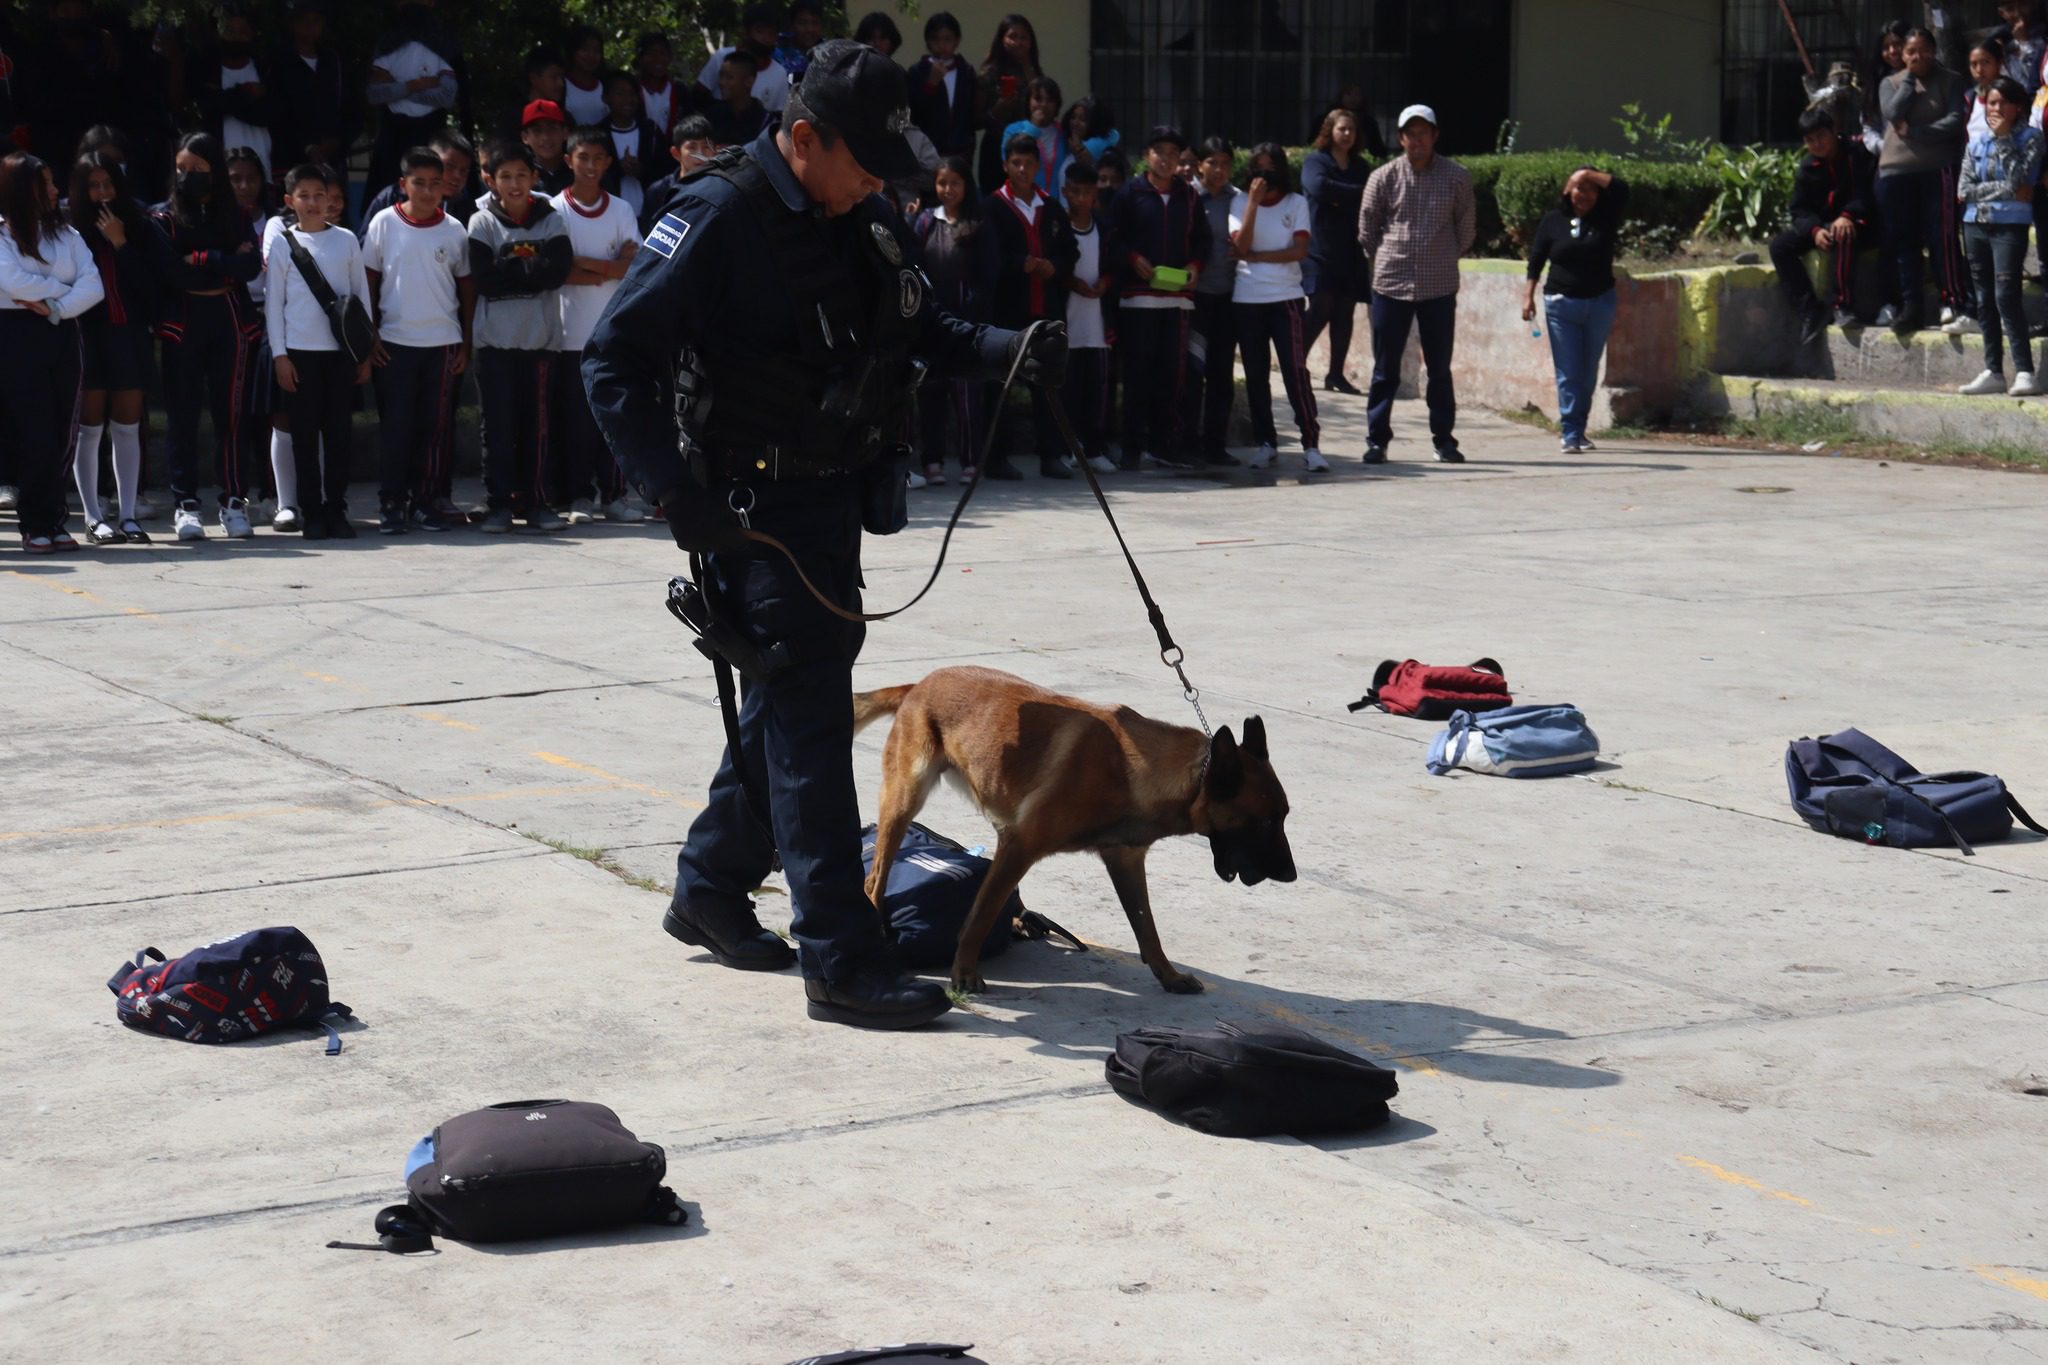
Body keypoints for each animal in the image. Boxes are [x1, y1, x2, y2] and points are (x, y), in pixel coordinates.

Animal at [851, 671, 1294, 994]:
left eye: (1284, 816)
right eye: (1267, 821)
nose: (1291, 875)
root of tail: (919, 683)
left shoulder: (1125, 860)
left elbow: (1147, 926)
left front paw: (1168, 976)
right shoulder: (1019, 845)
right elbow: (980, 915)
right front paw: (964, 973)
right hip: (904, 802)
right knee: (874, 880)